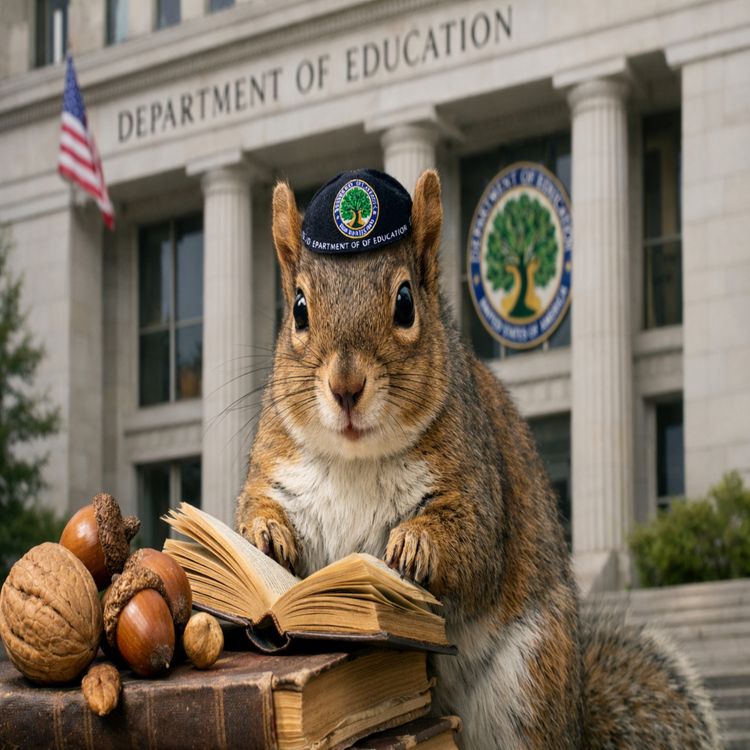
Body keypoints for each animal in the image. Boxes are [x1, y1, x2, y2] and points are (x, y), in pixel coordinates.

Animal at [235, 168, 721, 749]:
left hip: (531, 680)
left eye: (405, 303)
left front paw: (416, 545)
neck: (356, 459)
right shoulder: (278, 468)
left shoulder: (475, 477)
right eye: (299, 309)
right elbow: (260, 509)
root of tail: (577, 718)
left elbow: (476, 543)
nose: (346, 387)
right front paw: (263, 535)